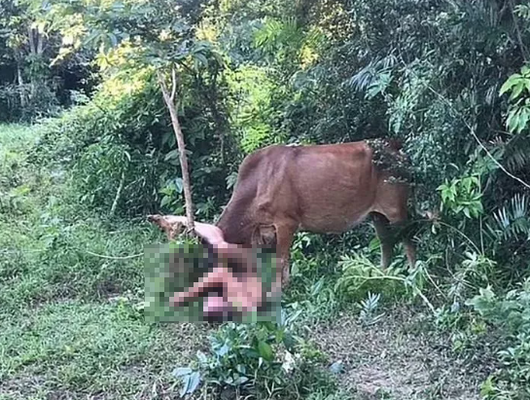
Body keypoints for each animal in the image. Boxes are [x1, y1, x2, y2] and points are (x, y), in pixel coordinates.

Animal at [212, 139, 414, 286]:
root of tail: (397, 148)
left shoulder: (286, 222)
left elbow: (280, 261)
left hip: (396, 208)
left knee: (407, 240)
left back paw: (414, 274)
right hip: (377, 214)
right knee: (386, 242)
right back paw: (383, 275)